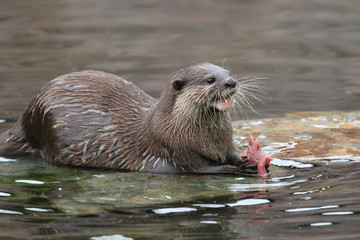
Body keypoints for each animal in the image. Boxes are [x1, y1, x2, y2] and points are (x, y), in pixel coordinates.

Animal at [0, 62, 264, 173]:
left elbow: (231, 153)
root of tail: (26, 117)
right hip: (49, 130)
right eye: (210, 79)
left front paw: (244, 158)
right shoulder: (176, 151)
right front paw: (244, 166)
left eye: (227, 72)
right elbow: (204, 168)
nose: (231, 82)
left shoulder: (225, 143)